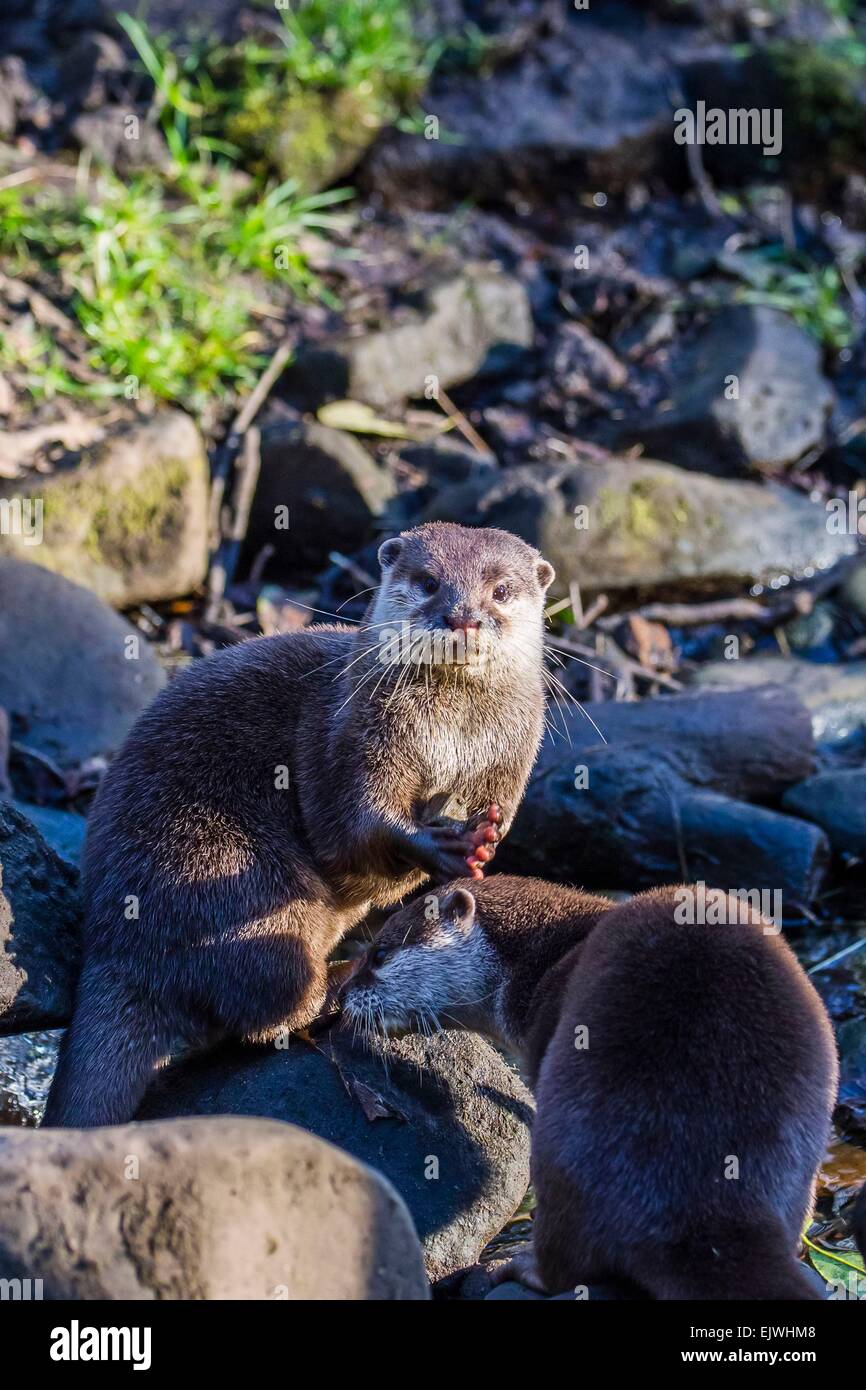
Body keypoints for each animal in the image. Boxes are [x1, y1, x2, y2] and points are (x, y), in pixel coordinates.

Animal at [42, 522, 556, 1128]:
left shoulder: (512, 756)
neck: (451, 739)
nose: (463, 617)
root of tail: (114, 946)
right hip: (227, 877)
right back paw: (342, 981)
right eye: (429, 582)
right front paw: (442, 847)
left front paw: (481, 847)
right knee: (272, 1006)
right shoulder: (349, 734)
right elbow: (356, 823)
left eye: (501, 590)